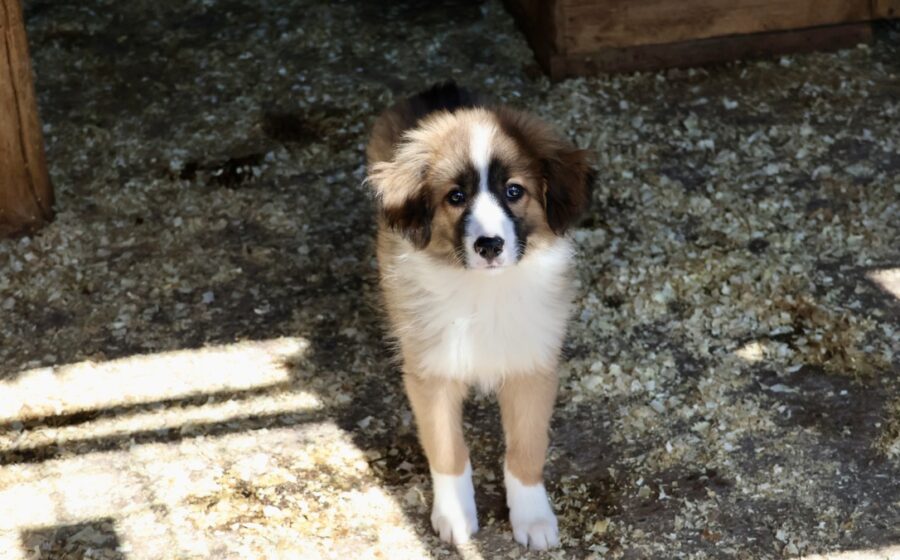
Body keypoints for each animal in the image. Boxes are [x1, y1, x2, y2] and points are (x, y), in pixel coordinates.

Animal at [366, 82, 593, 550]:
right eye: (455, 197)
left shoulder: (532, 367)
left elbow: (526, 449)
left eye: (514, 191)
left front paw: (533, 518)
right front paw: (454, 513)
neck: (485, 290)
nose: (489, 245)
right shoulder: (432, 374)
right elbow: (448, 450)